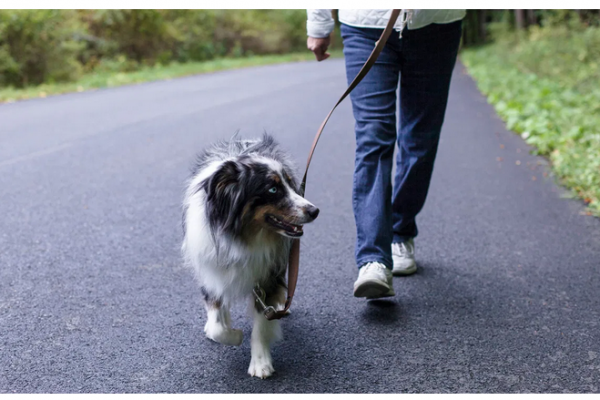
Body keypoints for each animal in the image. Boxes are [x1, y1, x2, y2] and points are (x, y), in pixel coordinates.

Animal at [182, 134, 318, 378]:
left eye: (290, 184)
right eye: (272, 190)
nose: (314, 211)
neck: (243, 237)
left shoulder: (268, 276)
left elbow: (261, 324)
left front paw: (260, 363)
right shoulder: (212, 272)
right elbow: (218, 325)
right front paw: (234, 335)